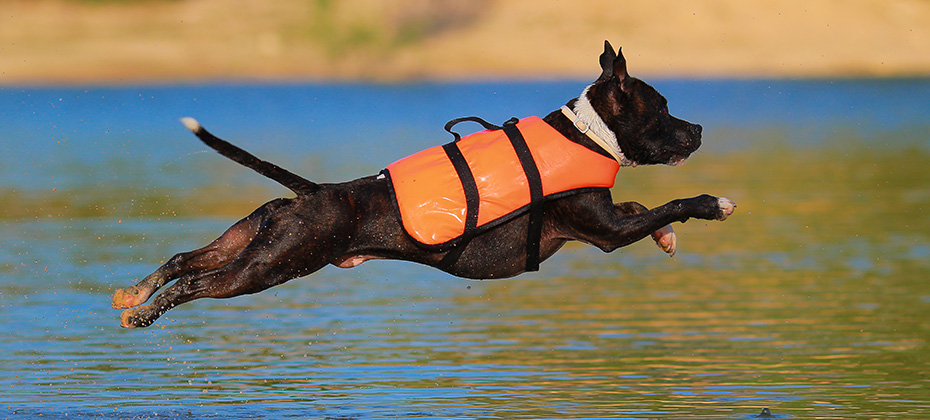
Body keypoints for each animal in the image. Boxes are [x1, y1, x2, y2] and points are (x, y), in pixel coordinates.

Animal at [110, 41, 732, 328]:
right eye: (664, 107)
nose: (700, 129)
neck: (587, 133)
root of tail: (314, 192)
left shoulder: (609, 220)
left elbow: (644, 206)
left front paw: (667, 239)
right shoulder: (605, 233)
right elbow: (669, 202)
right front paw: (713, 203)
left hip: (255, 240)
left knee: (187, 258)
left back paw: (135, 294)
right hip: (271, 266)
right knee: (197, 284)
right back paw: (144, 313)